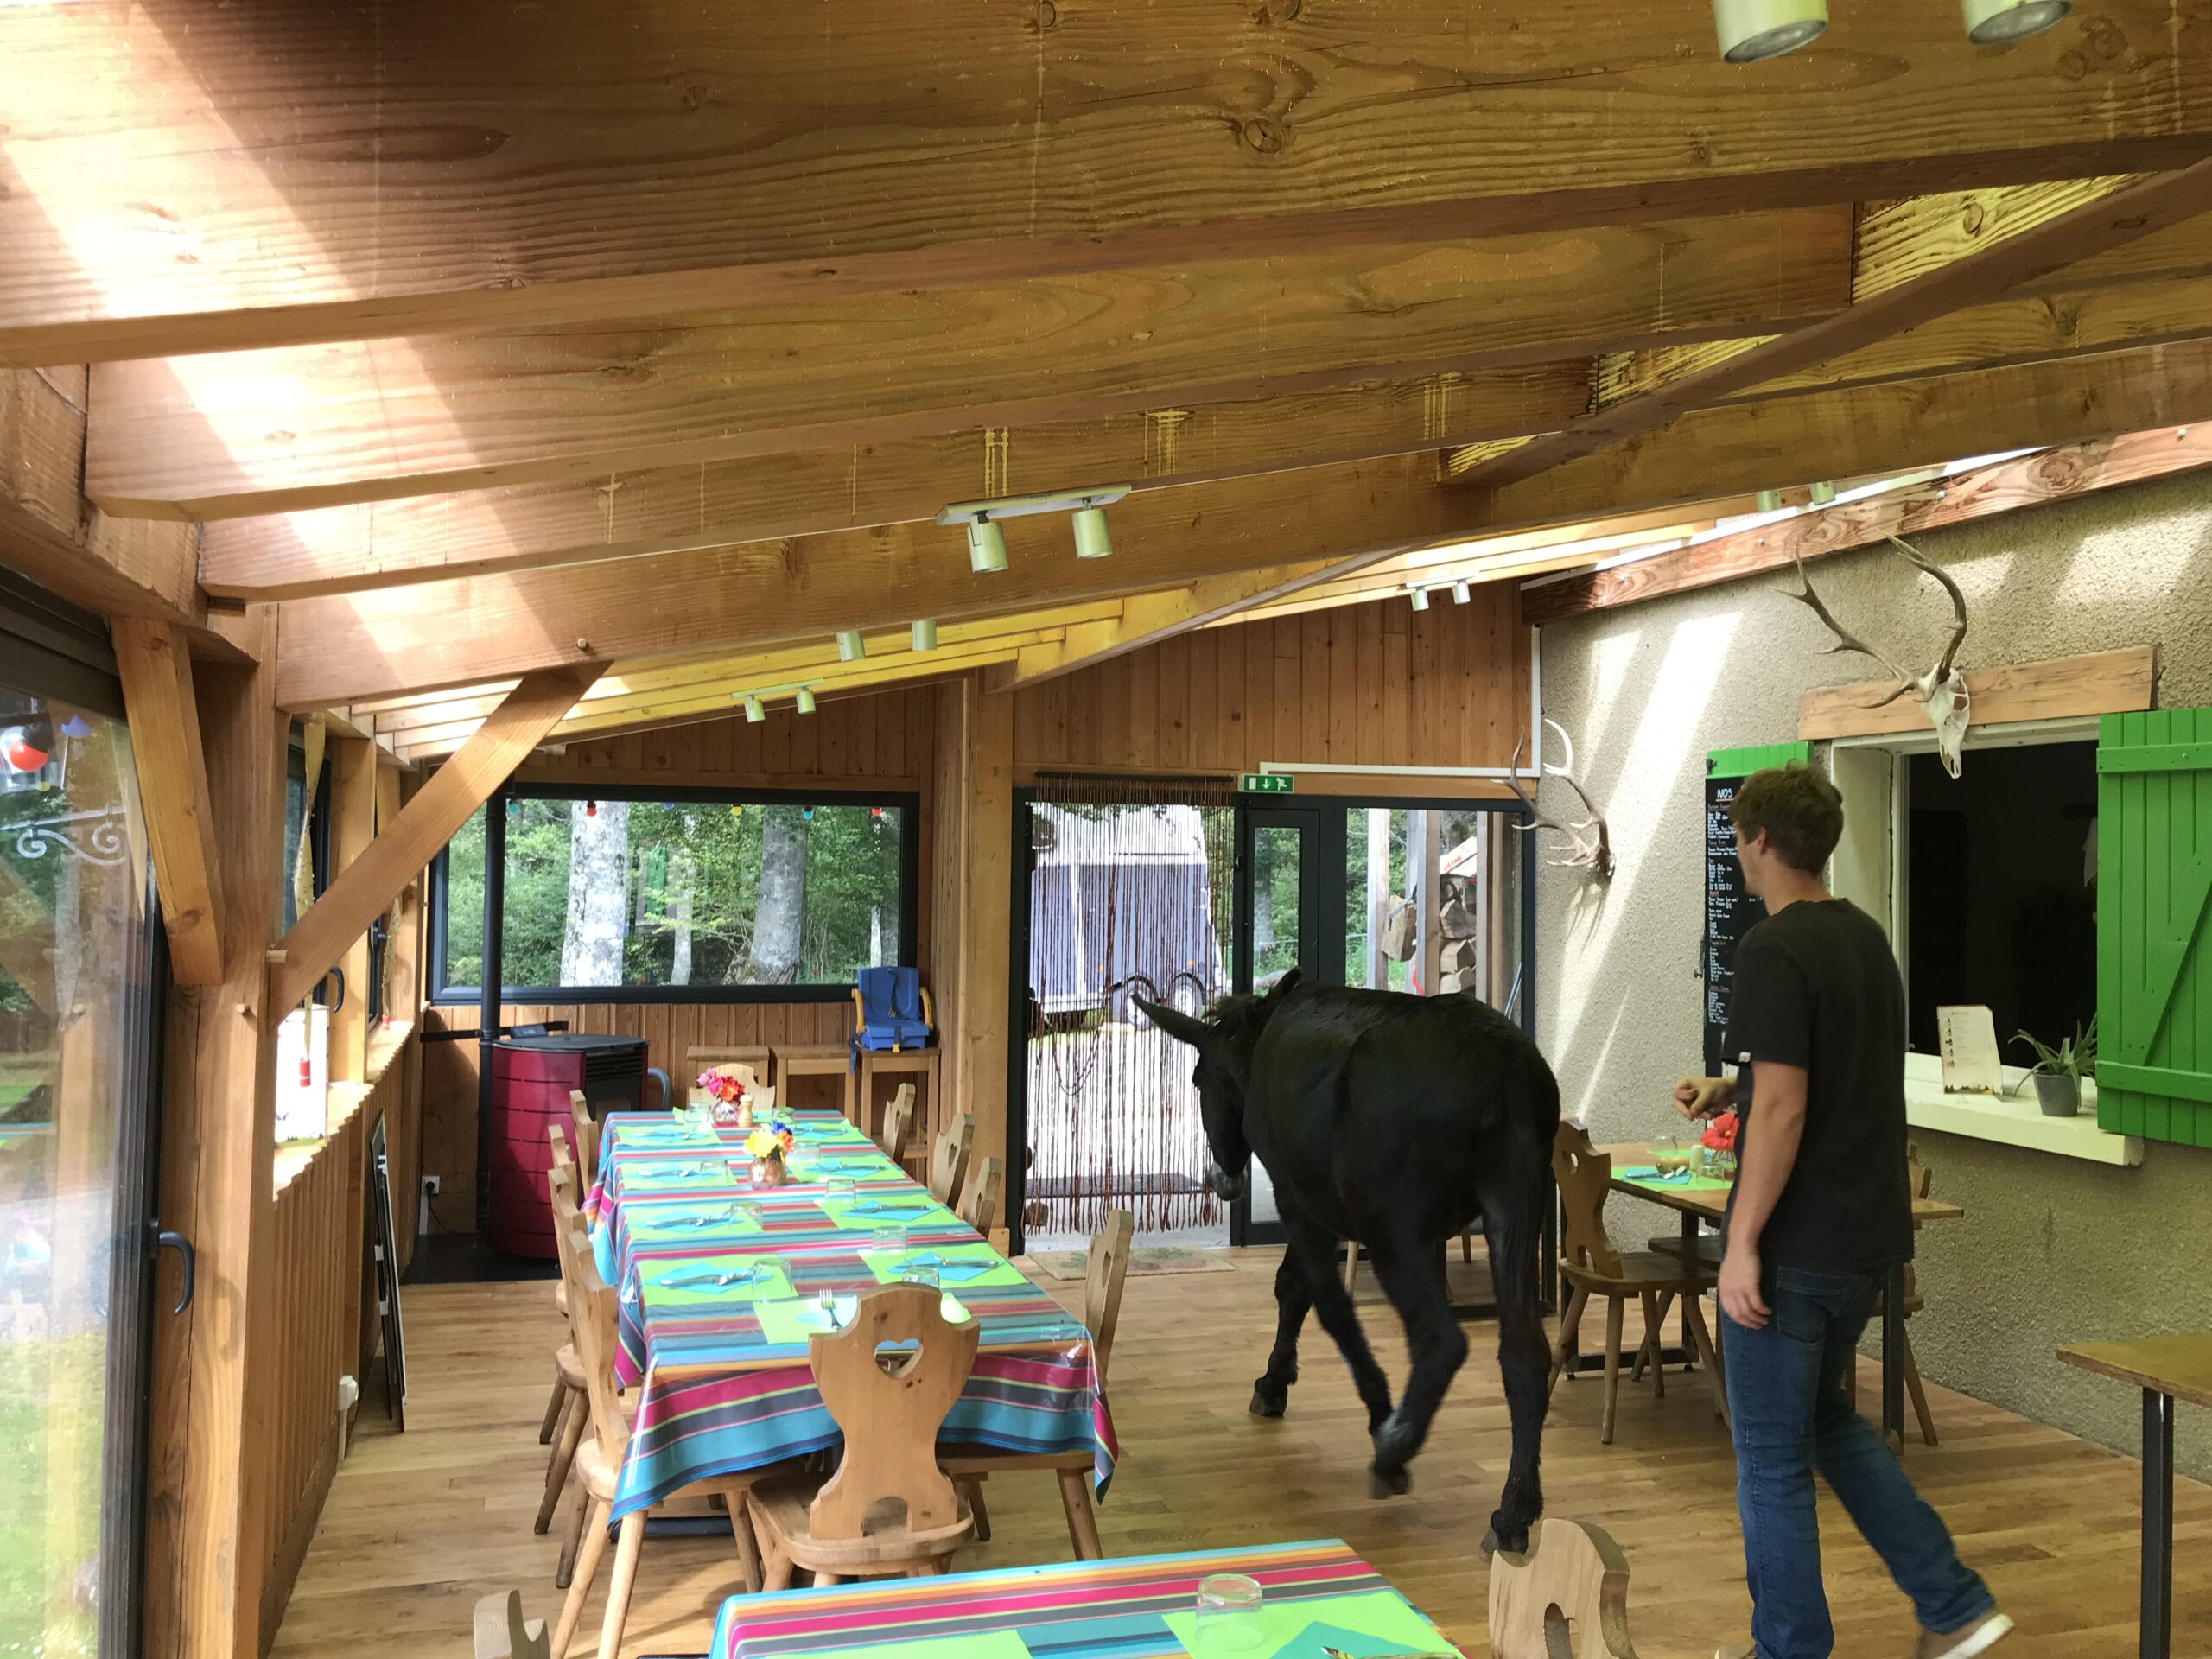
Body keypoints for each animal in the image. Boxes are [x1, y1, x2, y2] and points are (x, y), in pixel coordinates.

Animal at [1135, 968, 1558, 1553]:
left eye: (1198, 1080)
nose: (1221, 1179)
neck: (1256, 1038)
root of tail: (1510, 1073)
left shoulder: (1294, 1194)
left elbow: (1323, 1302)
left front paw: (1373, 1408)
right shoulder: (1320, 1202)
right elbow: (1298, 1288)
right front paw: (1276, 1381)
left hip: (1394, 1227)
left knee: (1442, 1339)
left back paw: (1396, 1450)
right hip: (1512, 1206)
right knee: (1525, 1355)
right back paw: (1514, 1510)